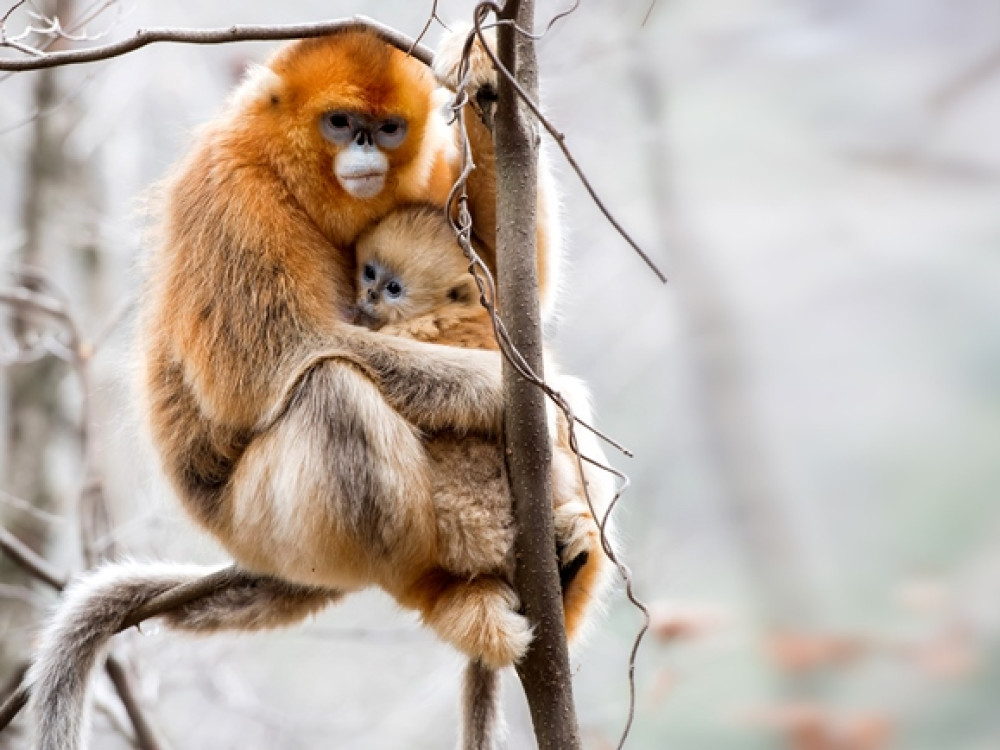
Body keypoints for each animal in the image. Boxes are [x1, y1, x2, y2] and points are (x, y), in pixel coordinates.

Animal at [26, 26, 594, 750]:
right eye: (340, 123)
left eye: (387, 128)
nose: (364, 149)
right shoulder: (235, 192)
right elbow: (273, 361)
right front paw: (515, 397)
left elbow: (518, 279)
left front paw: (480, 75)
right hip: (260, 524)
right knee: (331, 388)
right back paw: (443, 590)